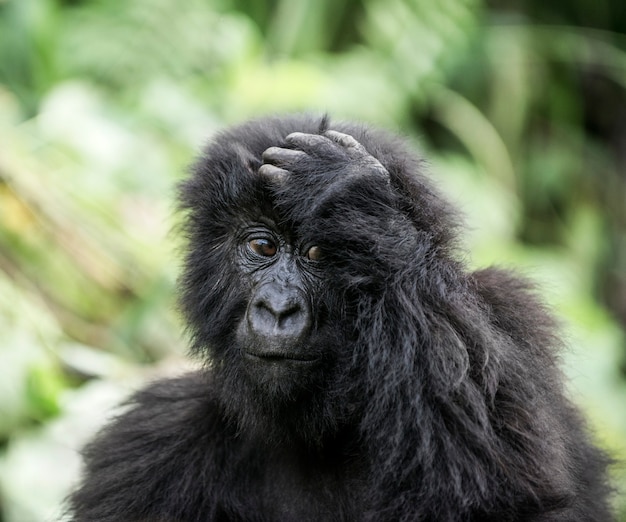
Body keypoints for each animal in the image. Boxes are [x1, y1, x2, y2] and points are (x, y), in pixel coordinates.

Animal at [66, 115, 612, 520]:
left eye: (320, 252)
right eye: (262, 247)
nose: (278, 309)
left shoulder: (511, 312)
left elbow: (499, 497)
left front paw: (352, 198)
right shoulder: (145, 443)